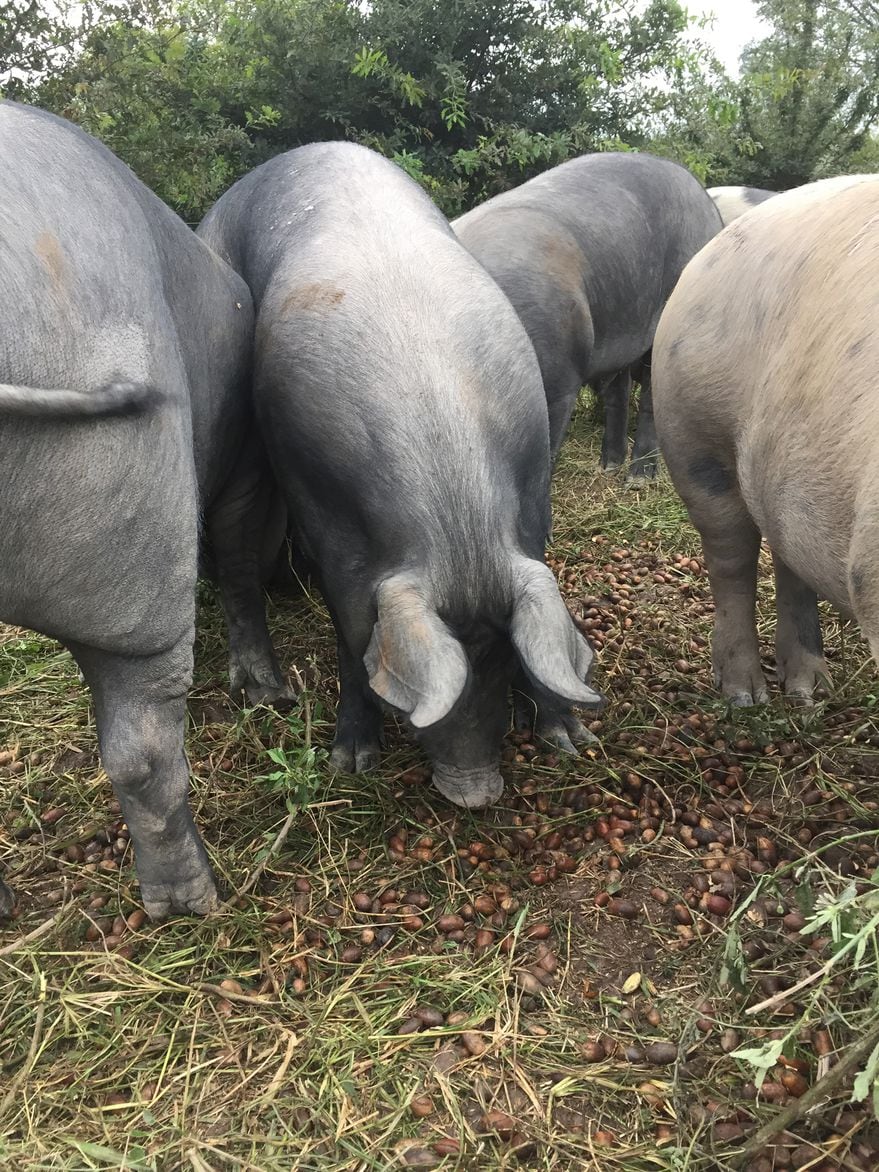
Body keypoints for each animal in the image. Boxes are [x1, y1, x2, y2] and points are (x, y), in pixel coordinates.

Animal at [195, 141, 604, 811]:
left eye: (502, 663)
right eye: (424, 701)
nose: (476, 793)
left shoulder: (533, 498)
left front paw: (569, 742)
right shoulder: (325, 517)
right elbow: (351, 633)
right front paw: (352, 764)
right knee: (234, 552)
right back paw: (265, 692)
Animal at [454, 152, 721, 480]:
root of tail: (708, 202)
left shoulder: (560, 382)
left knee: (650, 394)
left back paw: (638, 478)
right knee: (618, 391)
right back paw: (609, 466)